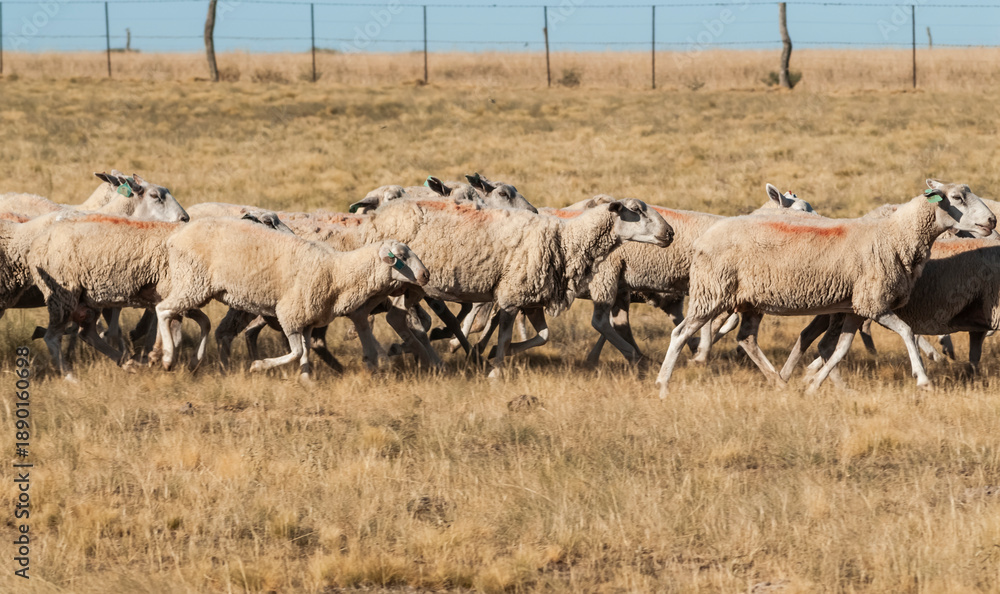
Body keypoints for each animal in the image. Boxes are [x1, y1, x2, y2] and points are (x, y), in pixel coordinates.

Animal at [154, 218, 429, 380]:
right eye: (402, 256)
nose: (426, 275)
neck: (336, 271)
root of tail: (175, 237)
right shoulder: (290, 314)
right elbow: (296, 352)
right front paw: (258, 366)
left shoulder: (307, 320)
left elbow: (305, 350)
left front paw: (306, 380)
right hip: (192, 281)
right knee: (163, 310)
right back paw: (167, 358)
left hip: (196, 286)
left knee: (199, 320)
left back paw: (193, 361)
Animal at [362, 198, 673, 374]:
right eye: (636, 210)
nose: (669, 233)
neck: (564, 240)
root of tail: (374, 217)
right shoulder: (512, 293)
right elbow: (504, 336)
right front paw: (496, 370)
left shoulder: (532, 298)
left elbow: (543, 336)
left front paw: (491, 357)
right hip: (401, 281)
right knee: (397, 317)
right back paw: (428, 359)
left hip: (410, 286)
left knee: (399, 318)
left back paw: (416, 353)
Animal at [654, 186, 996, 396]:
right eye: (957, 197)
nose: (992, 220)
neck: (892, 235)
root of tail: (702, 240)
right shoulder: (873, 303)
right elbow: (907, 332)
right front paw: (923, 378)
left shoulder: (856, 307)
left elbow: (837, 349)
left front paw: (817, 385)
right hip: (712, 293)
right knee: (681, 333)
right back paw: (663, 384)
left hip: (749, 301)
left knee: (746, 339)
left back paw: (779, 382)